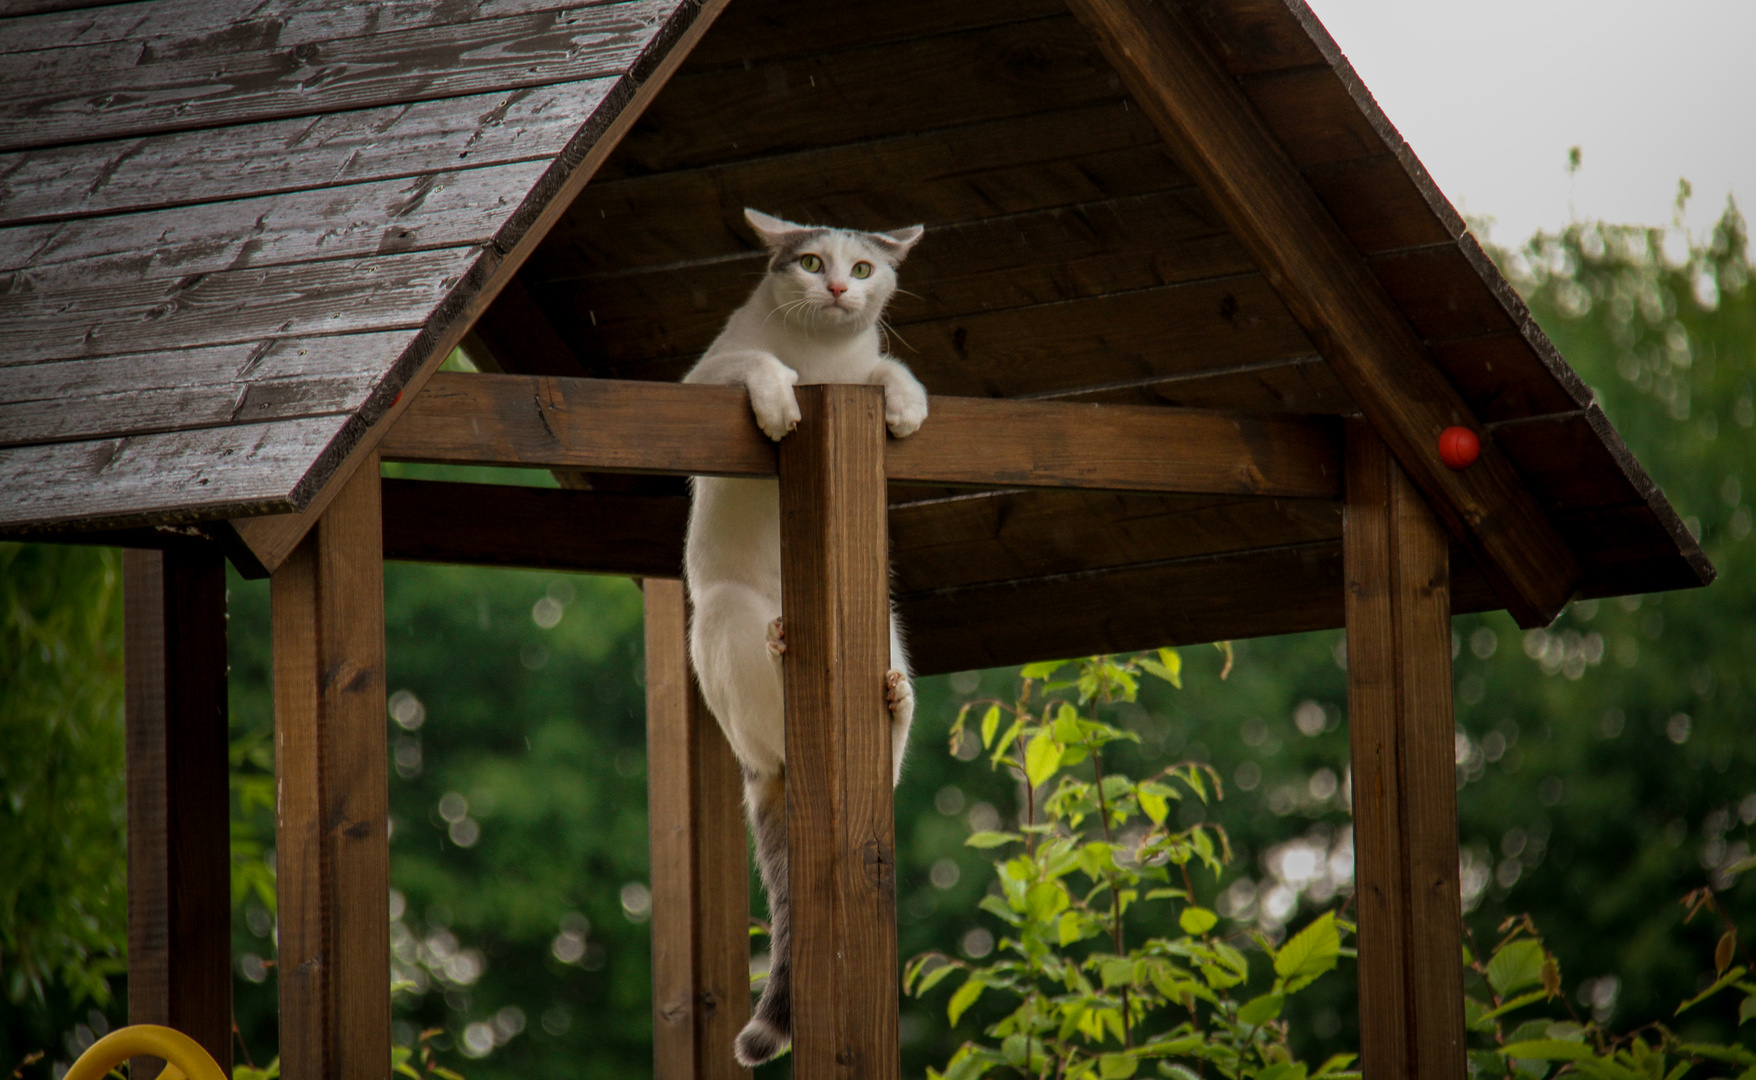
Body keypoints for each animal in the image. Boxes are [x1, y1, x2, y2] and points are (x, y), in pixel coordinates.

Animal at [681, 208, 934, 1067]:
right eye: (813, 261)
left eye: (862, 269)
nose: (836, 290)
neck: (823, 358)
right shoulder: (706, 374)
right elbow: (757, 362)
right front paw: (781, 402)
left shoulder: (862, 369)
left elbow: (889, 366)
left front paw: (905, 405)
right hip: (721, 617)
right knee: (764, 713)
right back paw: (784, 644)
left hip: (888, 631)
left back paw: (889, 699)